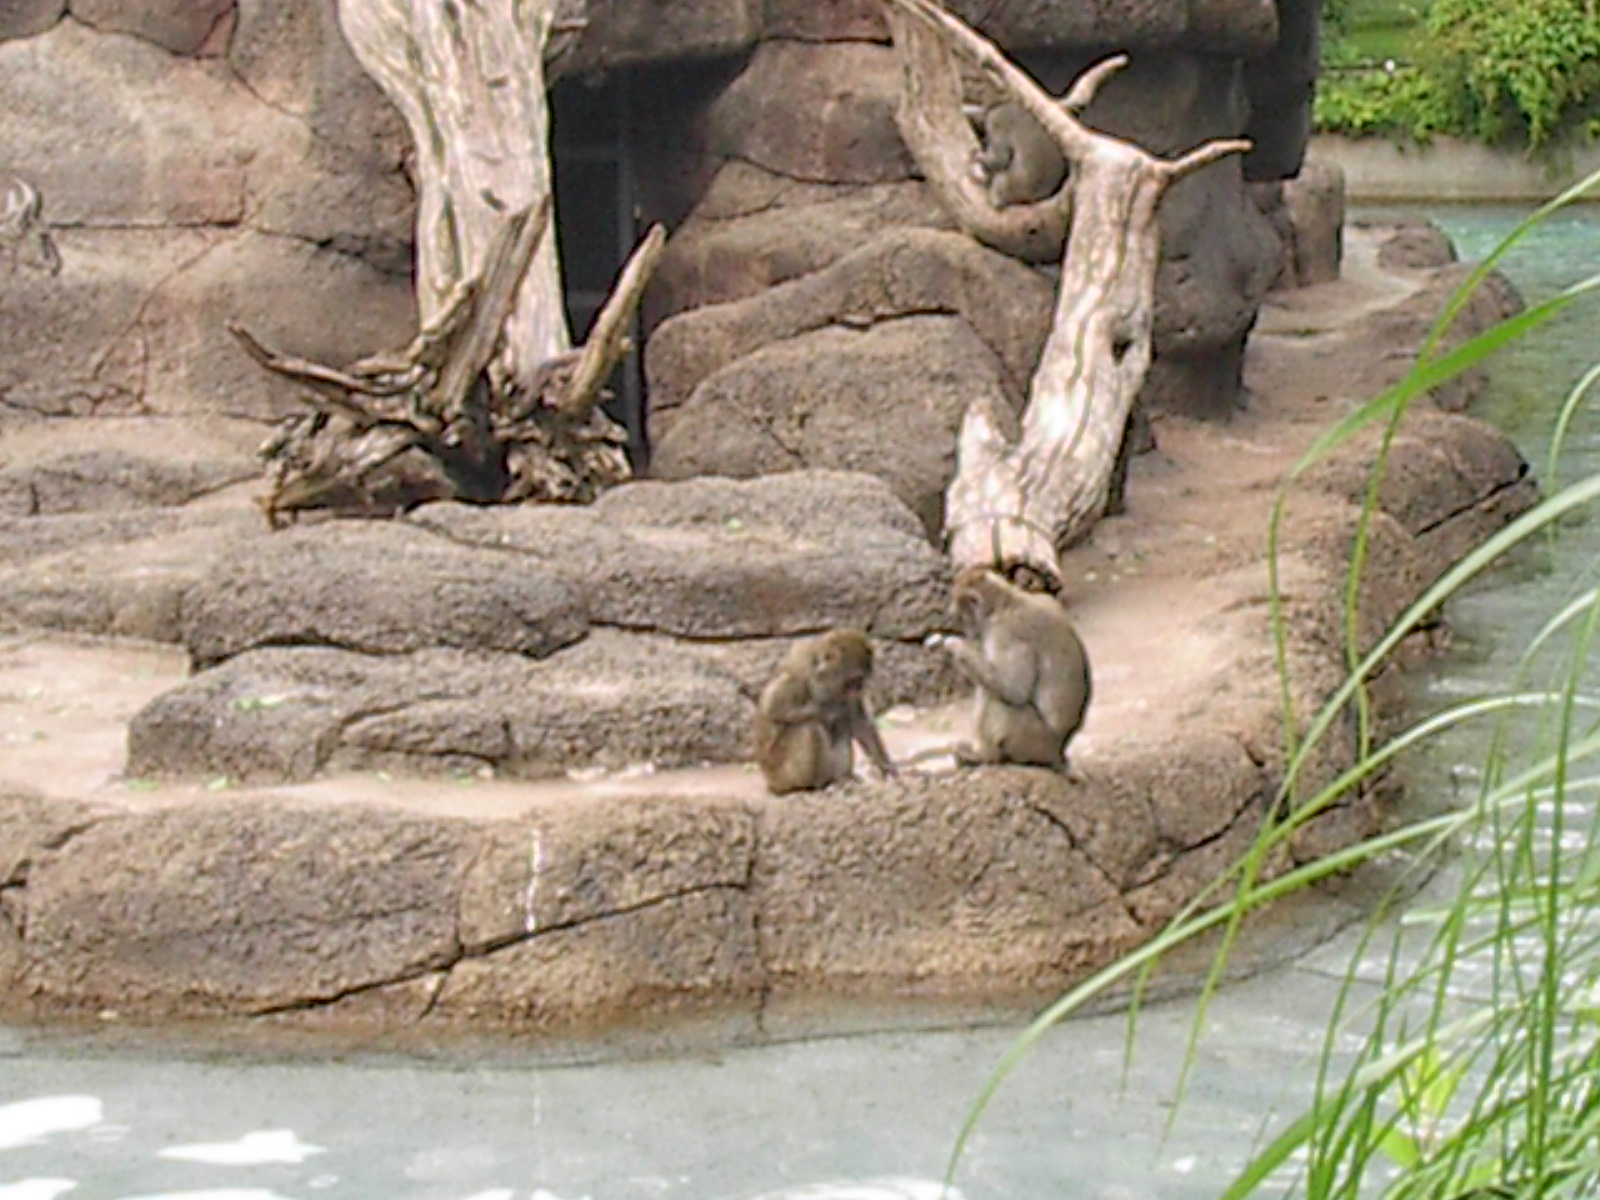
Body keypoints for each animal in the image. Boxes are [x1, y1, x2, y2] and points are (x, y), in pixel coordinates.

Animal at [755, 628, 897, 794]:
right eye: (853, 680)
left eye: (860, 680)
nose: (858, 689)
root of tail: (772, 782)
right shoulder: (797, 676)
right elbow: (772, 709)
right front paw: (825, 709)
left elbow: (858, 723)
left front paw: (885, 766)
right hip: (783, 774)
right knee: (811, 728)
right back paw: (817, 785)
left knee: (841, 728)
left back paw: (843, 778)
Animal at [927, 567, 1091, 769]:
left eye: (961, 617)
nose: (967, 631)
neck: (1004, 602)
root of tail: (1058, 753)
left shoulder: (1005, 633)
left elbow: (1014, 690)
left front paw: (955, 645)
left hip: (1032, 740)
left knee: (998, 700)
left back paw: (984, 755)